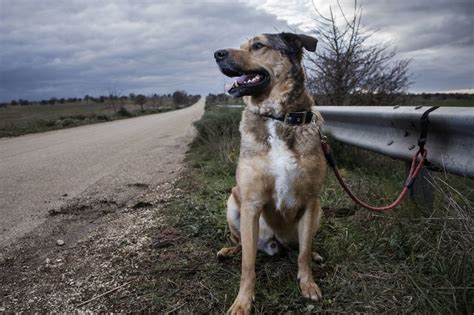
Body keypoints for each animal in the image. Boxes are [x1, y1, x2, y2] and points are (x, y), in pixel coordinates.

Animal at [214, 33, 326, 314]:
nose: (217, 54)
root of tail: (277, 243)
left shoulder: (311, 201)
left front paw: (308, 284)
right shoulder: (251, 203)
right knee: (241, 244)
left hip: (318, 213)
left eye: (257, 45)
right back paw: (228, 251)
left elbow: (303, 253)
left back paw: (315, 253)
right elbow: (247, 264)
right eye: (241, 46)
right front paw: (243, 302)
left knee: (302, 246)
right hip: (233, 205)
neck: (278, 118)